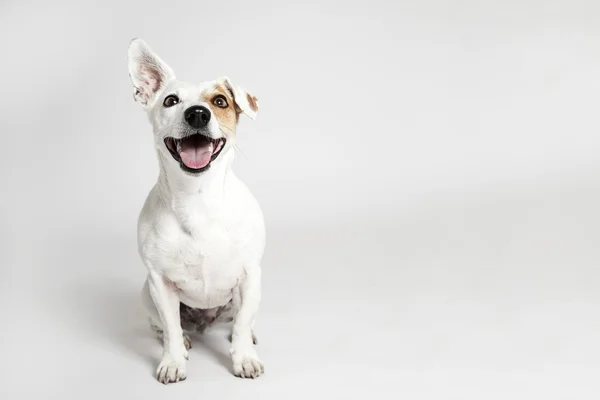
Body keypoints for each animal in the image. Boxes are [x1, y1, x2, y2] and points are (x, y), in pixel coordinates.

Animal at [127, 38, 264, 384]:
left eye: (220, 101)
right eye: (170, 100)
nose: (198, 114)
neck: (197, 198)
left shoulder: (250, 276)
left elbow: (242, 324)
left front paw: (244, 358)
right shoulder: (159, 282)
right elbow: (171, 328)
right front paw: (173, 361)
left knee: (241, 318)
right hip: (145, 294)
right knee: (164, 325)